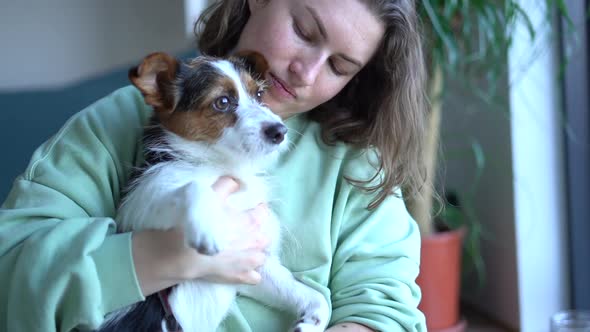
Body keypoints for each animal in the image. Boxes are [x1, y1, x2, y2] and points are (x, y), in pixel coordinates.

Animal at [100, 52, 332, 332]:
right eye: (222, 102)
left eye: (259, 95)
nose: (280, 131)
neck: (219, 164)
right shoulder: (144, 203)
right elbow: (195, 186)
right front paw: (208, 227)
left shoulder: (252, 268)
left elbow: (312, 295)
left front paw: (310, 323)